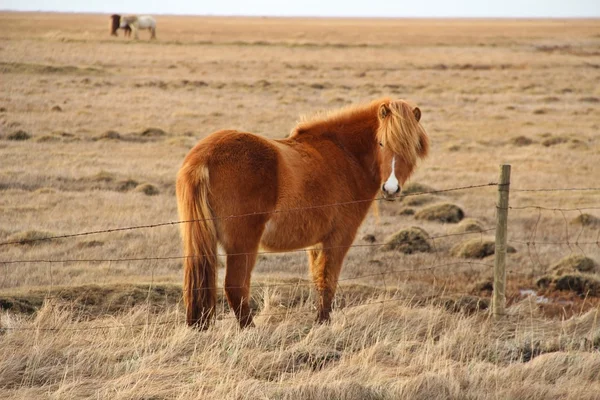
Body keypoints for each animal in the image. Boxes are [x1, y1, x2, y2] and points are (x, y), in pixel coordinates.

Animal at [176, 98, 428, 330]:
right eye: (382, 143)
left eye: (412, 147)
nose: (391, 189)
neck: (345, 154)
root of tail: (205, 156)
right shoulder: (338, 238)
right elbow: (328, 280)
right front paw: (323, 323)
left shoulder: (316, 243)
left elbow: (317, 280)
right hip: (243, 244)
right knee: (235, 286)